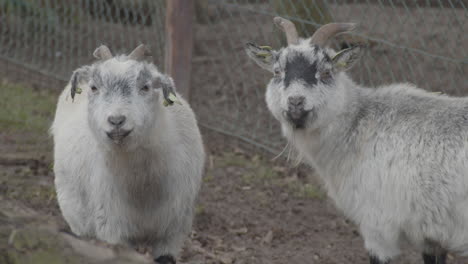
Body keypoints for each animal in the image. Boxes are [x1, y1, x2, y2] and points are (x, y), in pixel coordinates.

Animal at [51, 44, 205, 262]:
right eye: (94, 87)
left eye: (146, 87)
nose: (116, 121)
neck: (143, 188)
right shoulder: (113, 229)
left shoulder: (172, 234)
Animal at [245, 17, 468, 264]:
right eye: (277, 72)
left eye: (326, 73)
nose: (295, 102)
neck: (358, 125)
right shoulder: (431, 238)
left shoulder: (378, 226)